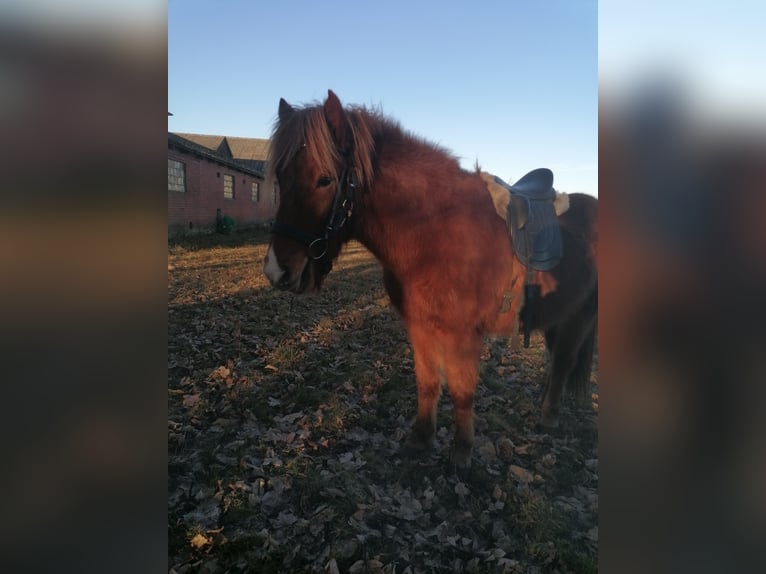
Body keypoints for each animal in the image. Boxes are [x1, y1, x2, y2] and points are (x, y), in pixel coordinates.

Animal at [263, 90, 598, 468]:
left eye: (324, 180)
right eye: (280, 177)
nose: (277, 270)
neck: (433, 231)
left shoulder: (463, 335)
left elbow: (463, 391)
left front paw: (462, 451)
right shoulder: (420, 327)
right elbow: (427, 382)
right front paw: (421, 438)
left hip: (581, 317)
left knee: (564, 361)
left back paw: (549, 416)